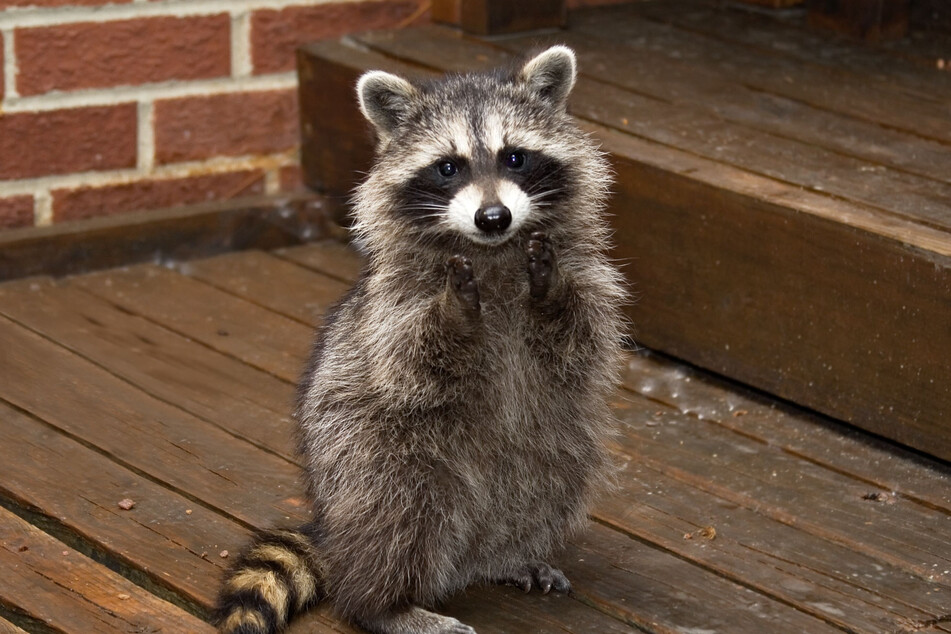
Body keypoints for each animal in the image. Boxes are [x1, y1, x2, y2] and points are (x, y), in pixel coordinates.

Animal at [218, 45, 632, 632]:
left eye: (515, 158)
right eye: (448, 166)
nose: (493, 217)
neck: (493, 254)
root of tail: (332, 522)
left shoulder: (590, 274)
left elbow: (583, 340)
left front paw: (550, 292)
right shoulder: (392, 307)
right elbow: (411, 362)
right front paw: (454, 313)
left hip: (555, 437)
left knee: (553, 482)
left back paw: (504, 554)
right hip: (372, 448)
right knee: (396, 514)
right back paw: (381, 604)